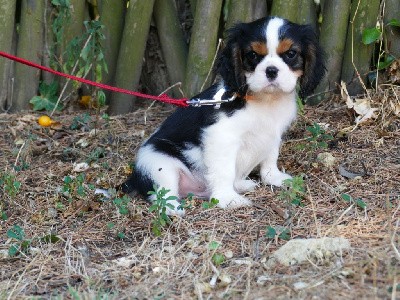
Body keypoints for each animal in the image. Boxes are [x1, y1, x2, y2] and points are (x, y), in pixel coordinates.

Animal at [121, 16, 324, 214]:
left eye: (291, 54)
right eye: (252, 55)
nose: (271, 70)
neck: (265, 100)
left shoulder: (273, 134)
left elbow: (270, 158)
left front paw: (273, 178)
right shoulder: (221, 137)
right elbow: (224, 170)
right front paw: (228, 199)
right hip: (159, 163)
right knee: (162, 196)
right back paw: (175, 208)